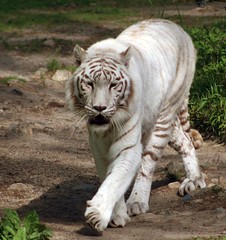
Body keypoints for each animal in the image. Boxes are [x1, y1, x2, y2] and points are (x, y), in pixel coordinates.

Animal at [66, 19, 207, 232]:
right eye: (89, 84)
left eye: (113, 85)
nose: (99, 108)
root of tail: (176, 26)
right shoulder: (99, 148)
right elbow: (109, 178)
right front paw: (116, 215)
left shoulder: (128, 146)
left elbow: (115, 180)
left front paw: (98, 214)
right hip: (164, 122)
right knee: (186, 142)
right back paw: (194, 179)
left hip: (163, 119)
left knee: (148, 163)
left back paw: (139, 201)